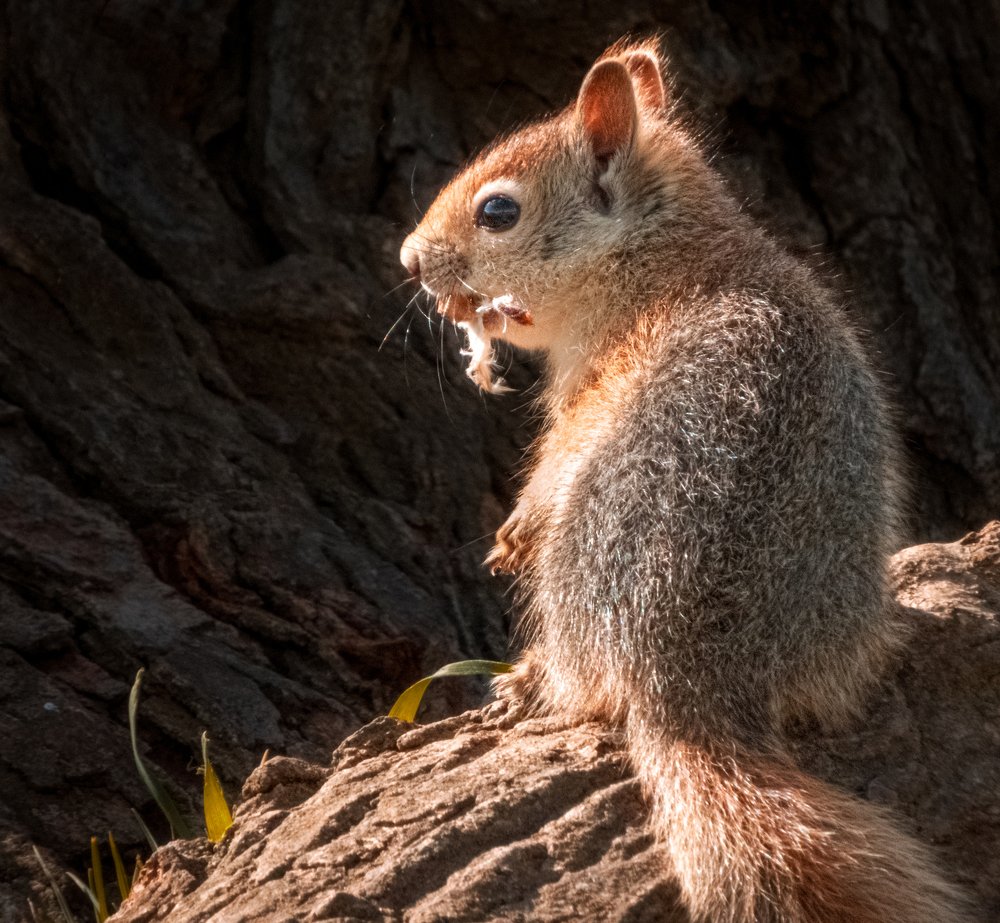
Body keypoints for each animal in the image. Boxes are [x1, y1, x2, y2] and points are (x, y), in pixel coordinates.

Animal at [400, 39, 967, 923]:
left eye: (498, 212)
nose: (409, 259)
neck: (665, 255)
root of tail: (685, 678)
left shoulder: (596, 382)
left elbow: (556, 458)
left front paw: (517, 525)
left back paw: (531, 677)